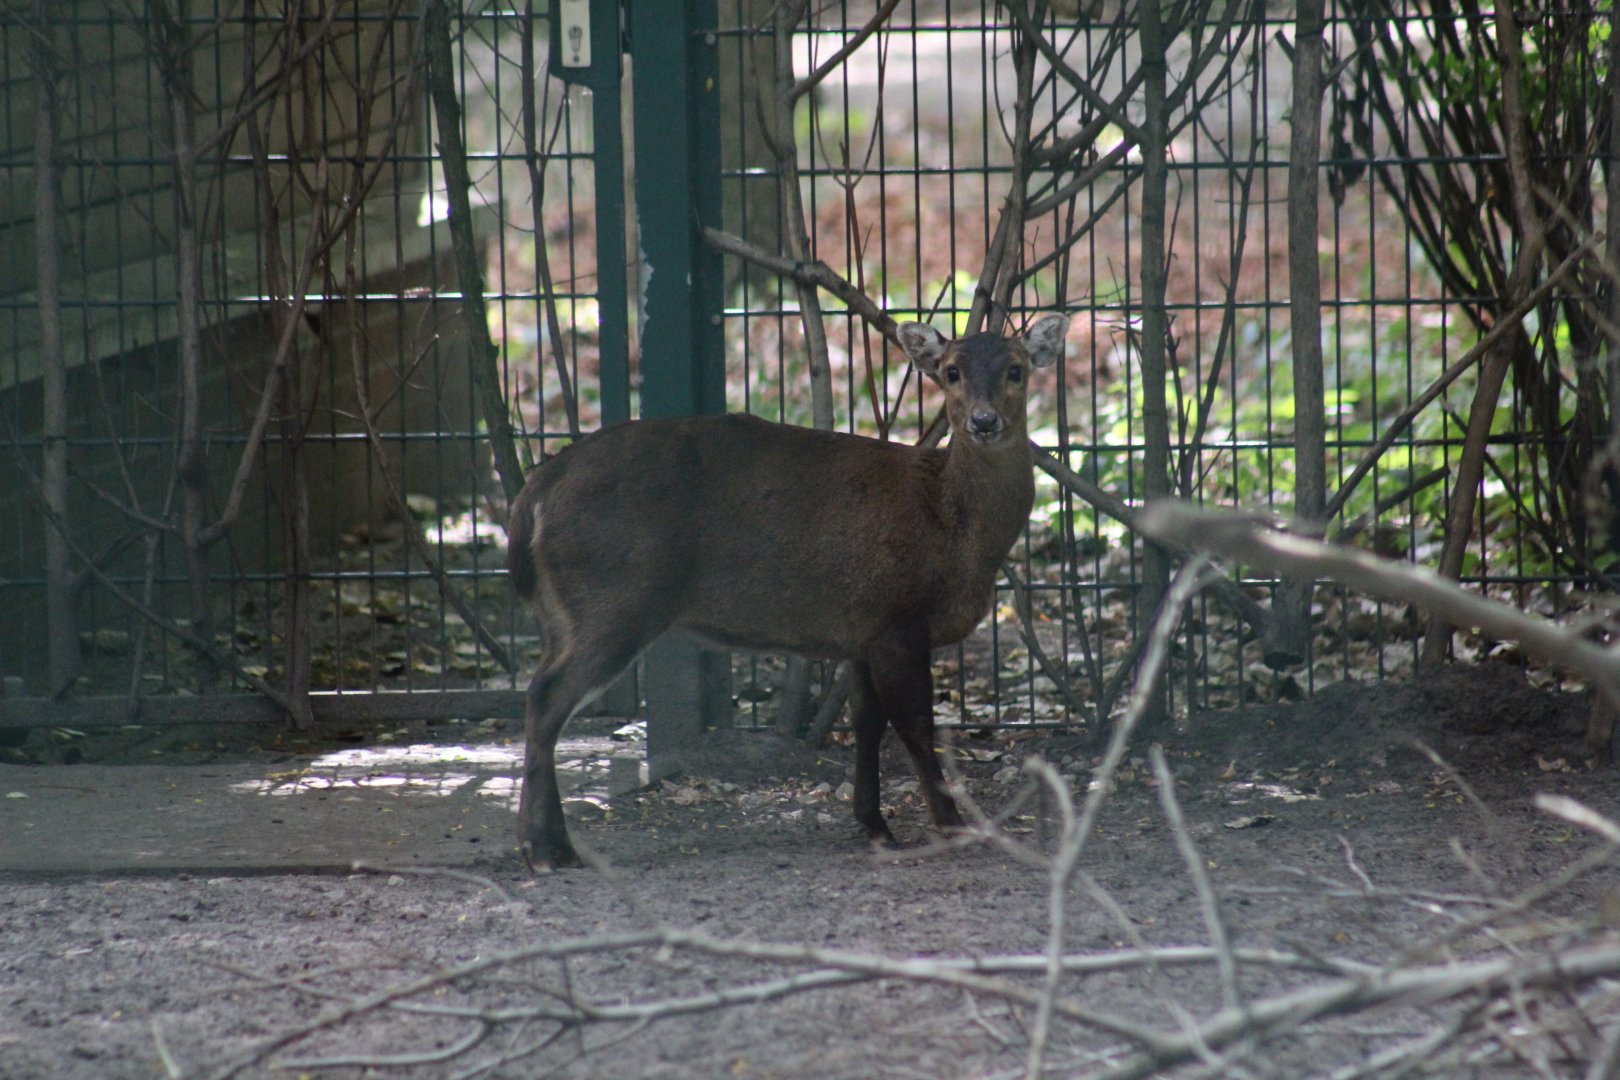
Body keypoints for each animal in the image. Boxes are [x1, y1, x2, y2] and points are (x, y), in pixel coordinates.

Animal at [506, 313, 1068, 869]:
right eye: (952, 371)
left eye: (1016, 369)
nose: (984, 421)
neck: (951, 529)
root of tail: (533, 493)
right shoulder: (898, 621)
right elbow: (915, 725)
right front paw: (953, 826)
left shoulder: (863, 629)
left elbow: (867, 723)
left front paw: (875, 824)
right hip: (615, 599)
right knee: (545, 697)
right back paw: (545, 849)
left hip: (564, 614)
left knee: (540, 692)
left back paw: (550, 845)